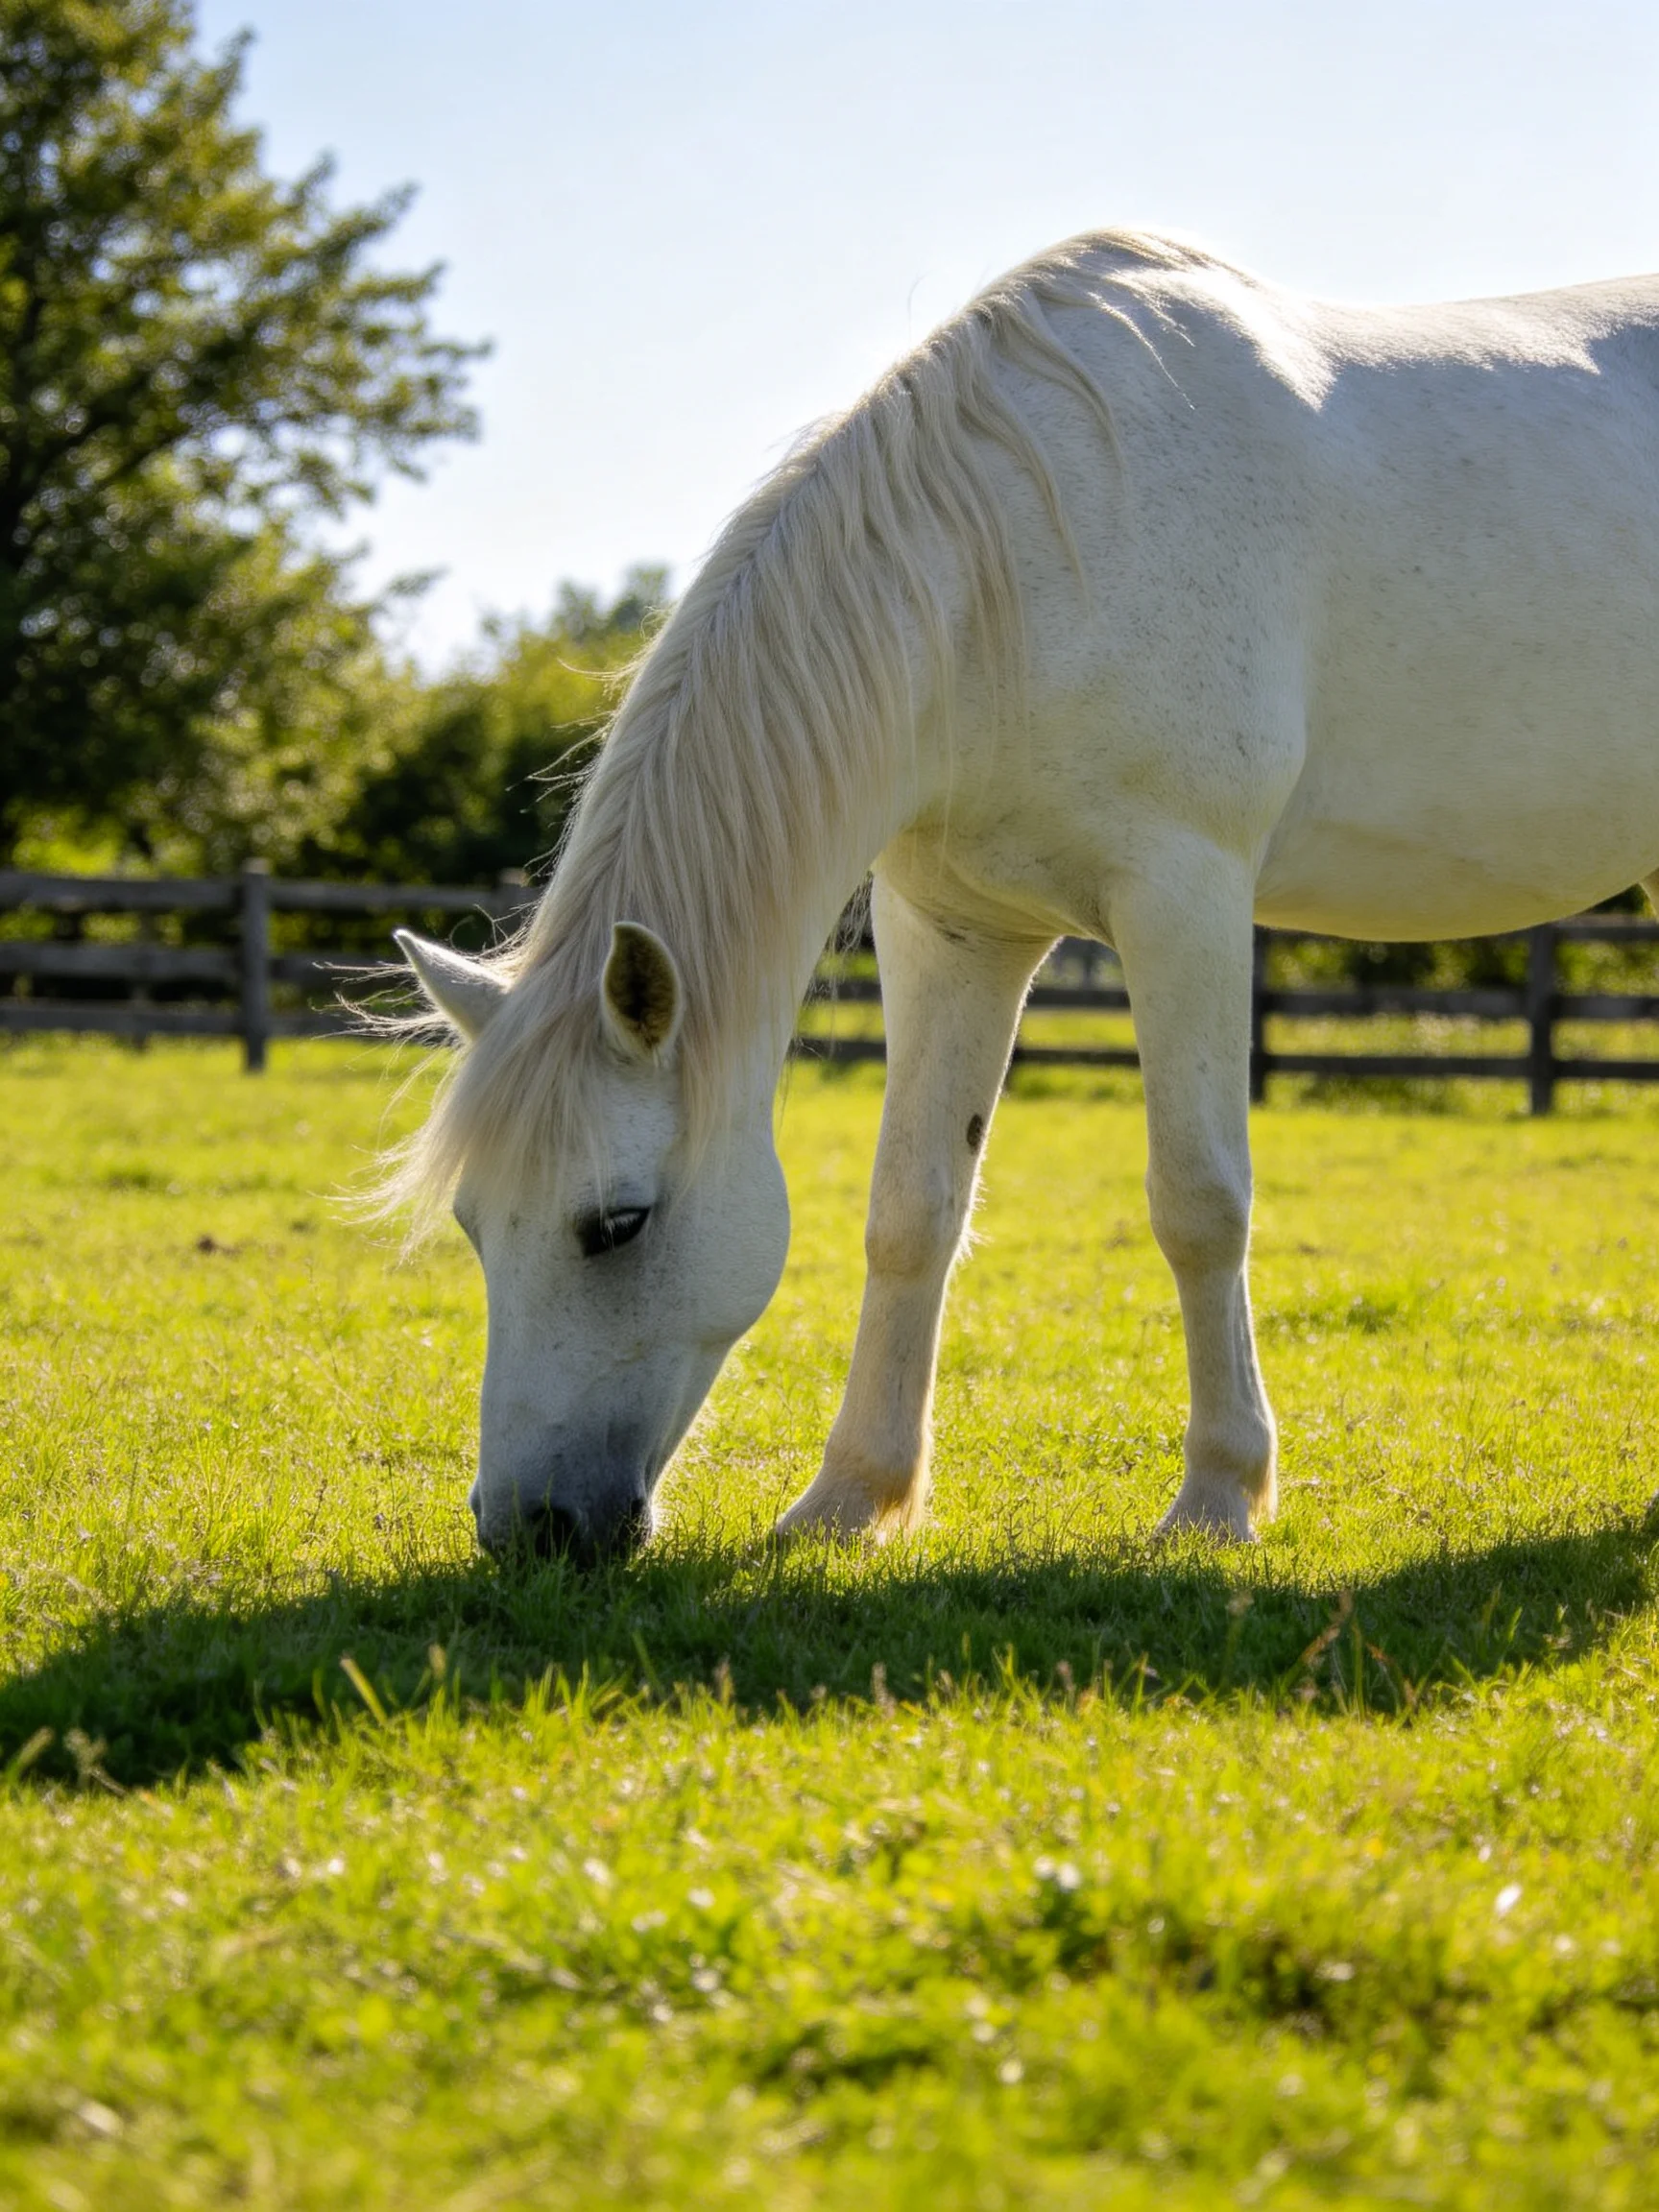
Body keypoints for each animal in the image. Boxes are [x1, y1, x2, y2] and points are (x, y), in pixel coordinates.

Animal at [389, 227, 1659, 1564]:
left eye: (617, 1223)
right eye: (474, 1222)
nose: (528, 1529)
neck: (1025, 561)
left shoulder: (1185, 900)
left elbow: (1200, 1202)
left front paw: (1218, 1499)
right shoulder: (955, 931)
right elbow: (912, 1210)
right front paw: (850, 1500)